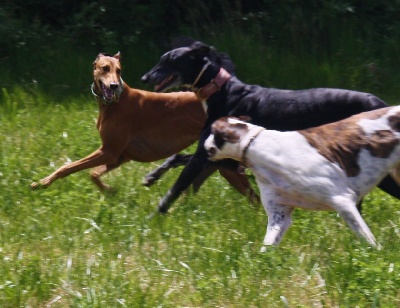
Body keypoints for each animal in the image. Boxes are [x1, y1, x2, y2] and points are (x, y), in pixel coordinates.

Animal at [30, 51, 256, 200]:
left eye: (119, 70)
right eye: (104, 68)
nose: (113, 86)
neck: (116, 102)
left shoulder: (108, 151)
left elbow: (67, 167)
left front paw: (41, 183)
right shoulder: (119, 156)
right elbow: (92, 174)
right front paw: (110, 191)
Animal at [141, 39, 400, 213]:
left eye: (170, 61)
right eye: (161, 59)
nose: (145, 78)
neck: (223, 91)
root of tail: (380, 103)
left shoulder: (204, 156)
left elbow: (175, 187)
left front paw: (154, 219)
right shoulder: (221, 157)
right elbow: (176, 158)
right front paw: (152, 176)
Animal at [205, 106, 400, 250]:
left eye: (212, 131)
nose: (204, 145)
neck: (258, 146)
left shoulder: (343, 202)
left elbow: (369, 241)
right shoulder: (280, 215)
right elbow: (266, 249)